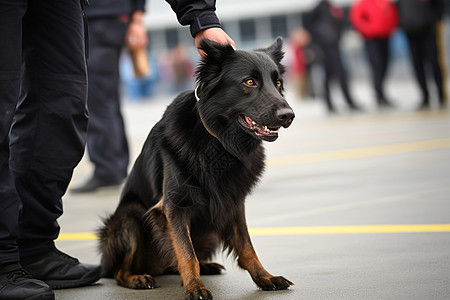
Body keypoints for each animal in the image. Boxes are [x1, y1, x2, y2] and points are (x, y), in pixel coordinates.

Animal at [98, 38, 296, 298]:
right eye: (249, 82)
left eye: (278, 83)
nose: (289, 116)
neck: (218, 142)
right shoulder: (174, 208)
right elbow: (186, 253)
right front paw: (195, 287)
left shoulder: (232, 204)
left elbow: (247, 248)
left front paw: (265, 277)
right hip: (129, 217)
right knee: (120, 272)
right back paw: (137, 278)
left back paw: (207, 266)